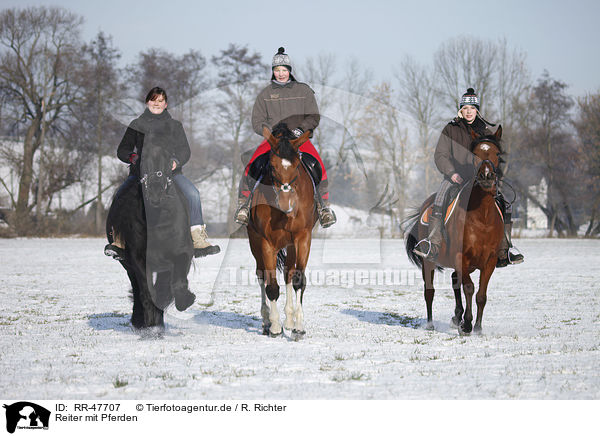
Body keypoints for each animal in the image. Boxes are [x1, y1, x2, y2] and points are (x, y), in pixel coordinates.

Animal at [105, 145, 195, 332]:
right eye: (142, 162)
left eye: (167, 160)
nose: (155, 193)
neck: (157, 219)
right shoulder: (138, 259)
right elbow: (146, 292)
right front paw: (151, 325)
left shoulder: (182, 254)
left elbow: (175, 285)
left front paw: (185, 300)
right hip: (127, 265)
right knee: (138, 289)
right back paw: (140, 321)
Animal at [246, 122, 318, 338]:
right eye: (272, 166)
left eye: (297, 165)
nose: (287, 204)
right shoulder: (265, 242)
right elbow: (271, 286)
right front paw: (275, 326)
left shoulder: (303, 238)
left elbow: (298, 280)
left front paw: (298, 327)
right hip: (255, 242)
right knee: (262, 275)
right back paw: (267, 321)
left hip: (291, 245)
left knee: (288, 274)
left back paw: (290, 319)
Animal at [404, 125, 506, 334]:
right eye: (474, 154)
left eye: (497, 153)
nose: (486, 176)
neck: (482, 217)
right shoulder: (461, 257)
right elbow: (469, 287)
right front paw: (466, 325)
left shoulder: (490, 261)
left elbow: (481, 294)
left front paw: (477, 328)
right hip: (429, 262)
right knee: (430, 291)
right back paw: (431, 324)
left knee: (454, 280)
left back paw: (456, 316)